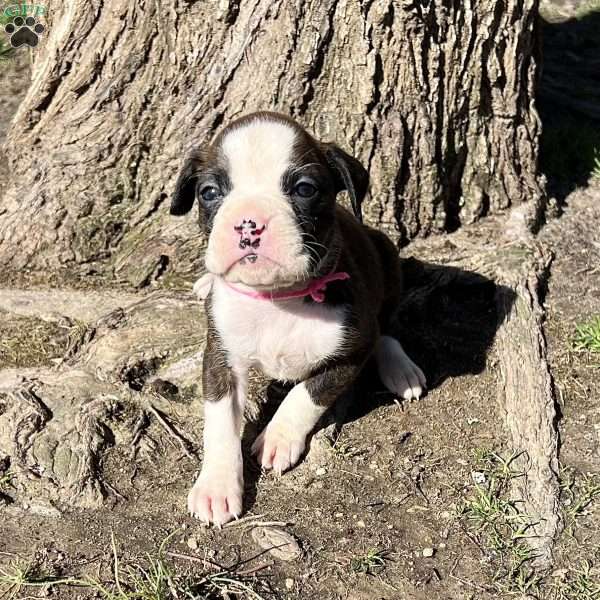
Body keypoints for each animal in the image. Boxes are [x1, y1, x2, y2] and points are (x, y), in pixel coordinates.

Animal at [170, 110, 426, 524]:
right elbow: (220, 422)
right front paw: (216, 486)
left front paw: (277, 437)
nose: (249, 222)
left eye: (304, 189)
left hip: (386, 255)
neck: (277, 297)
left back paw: (400, 370)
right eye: (209, 192)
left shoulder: (350, 352)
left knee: (385, 330)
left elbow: (307, 394)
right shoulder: (220, 359)